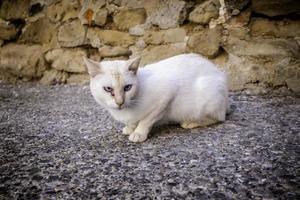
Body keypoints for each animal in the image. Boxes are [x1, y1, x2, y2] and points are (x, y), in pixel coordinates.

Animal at [83, 53, 229, 142]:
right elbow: (132, 122)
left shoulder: (165, 98)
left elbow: (145, 121)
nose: (120, 102)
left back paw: (190, 122)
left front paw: (138, 133)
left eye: (127, 88)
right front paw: (130, 128)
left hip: (206, 97)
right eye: (108, 89)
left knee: (219, 117)